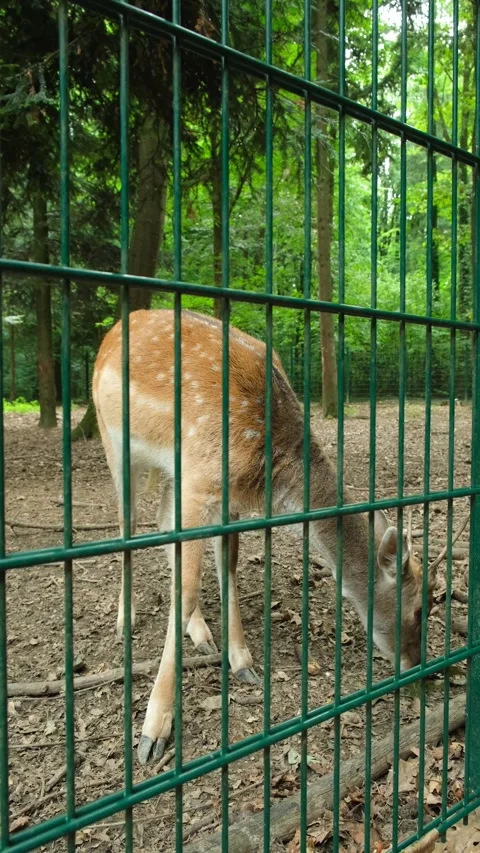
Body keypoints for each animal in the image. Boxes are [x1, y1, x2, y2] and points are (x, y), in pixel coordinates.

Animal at [92, 308, 435, 765]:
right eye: (419, 609)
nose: (418, 664)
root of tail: (112, 332)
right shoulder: (201, 481)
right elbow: (186, 590)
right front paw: (153, 730)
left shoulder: (223, 496)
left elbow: (228, 564)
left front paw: (243, 662)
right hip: (111, 437)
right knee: (126, 524)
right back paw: (124, 620)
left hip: (169, 469)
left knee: (163, 522)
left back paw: (202, 635)